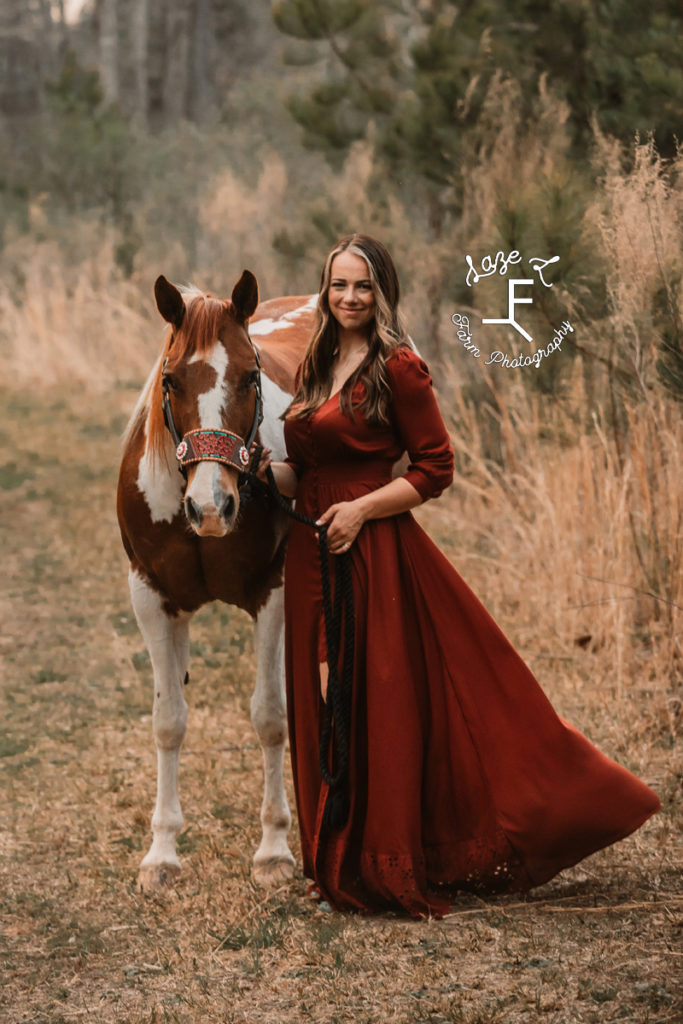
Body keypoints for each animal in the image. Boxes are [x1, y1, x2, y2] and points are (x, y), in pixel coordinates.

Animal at [118, 272, 317, 888]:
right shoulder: (151, 597)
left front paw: (274, 850)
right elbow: (168, 722)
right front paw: (161, 855)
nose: (212, 506)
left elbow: (271, 717)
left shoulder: (275, 592)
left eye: (252, 375)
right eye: (171, 379)